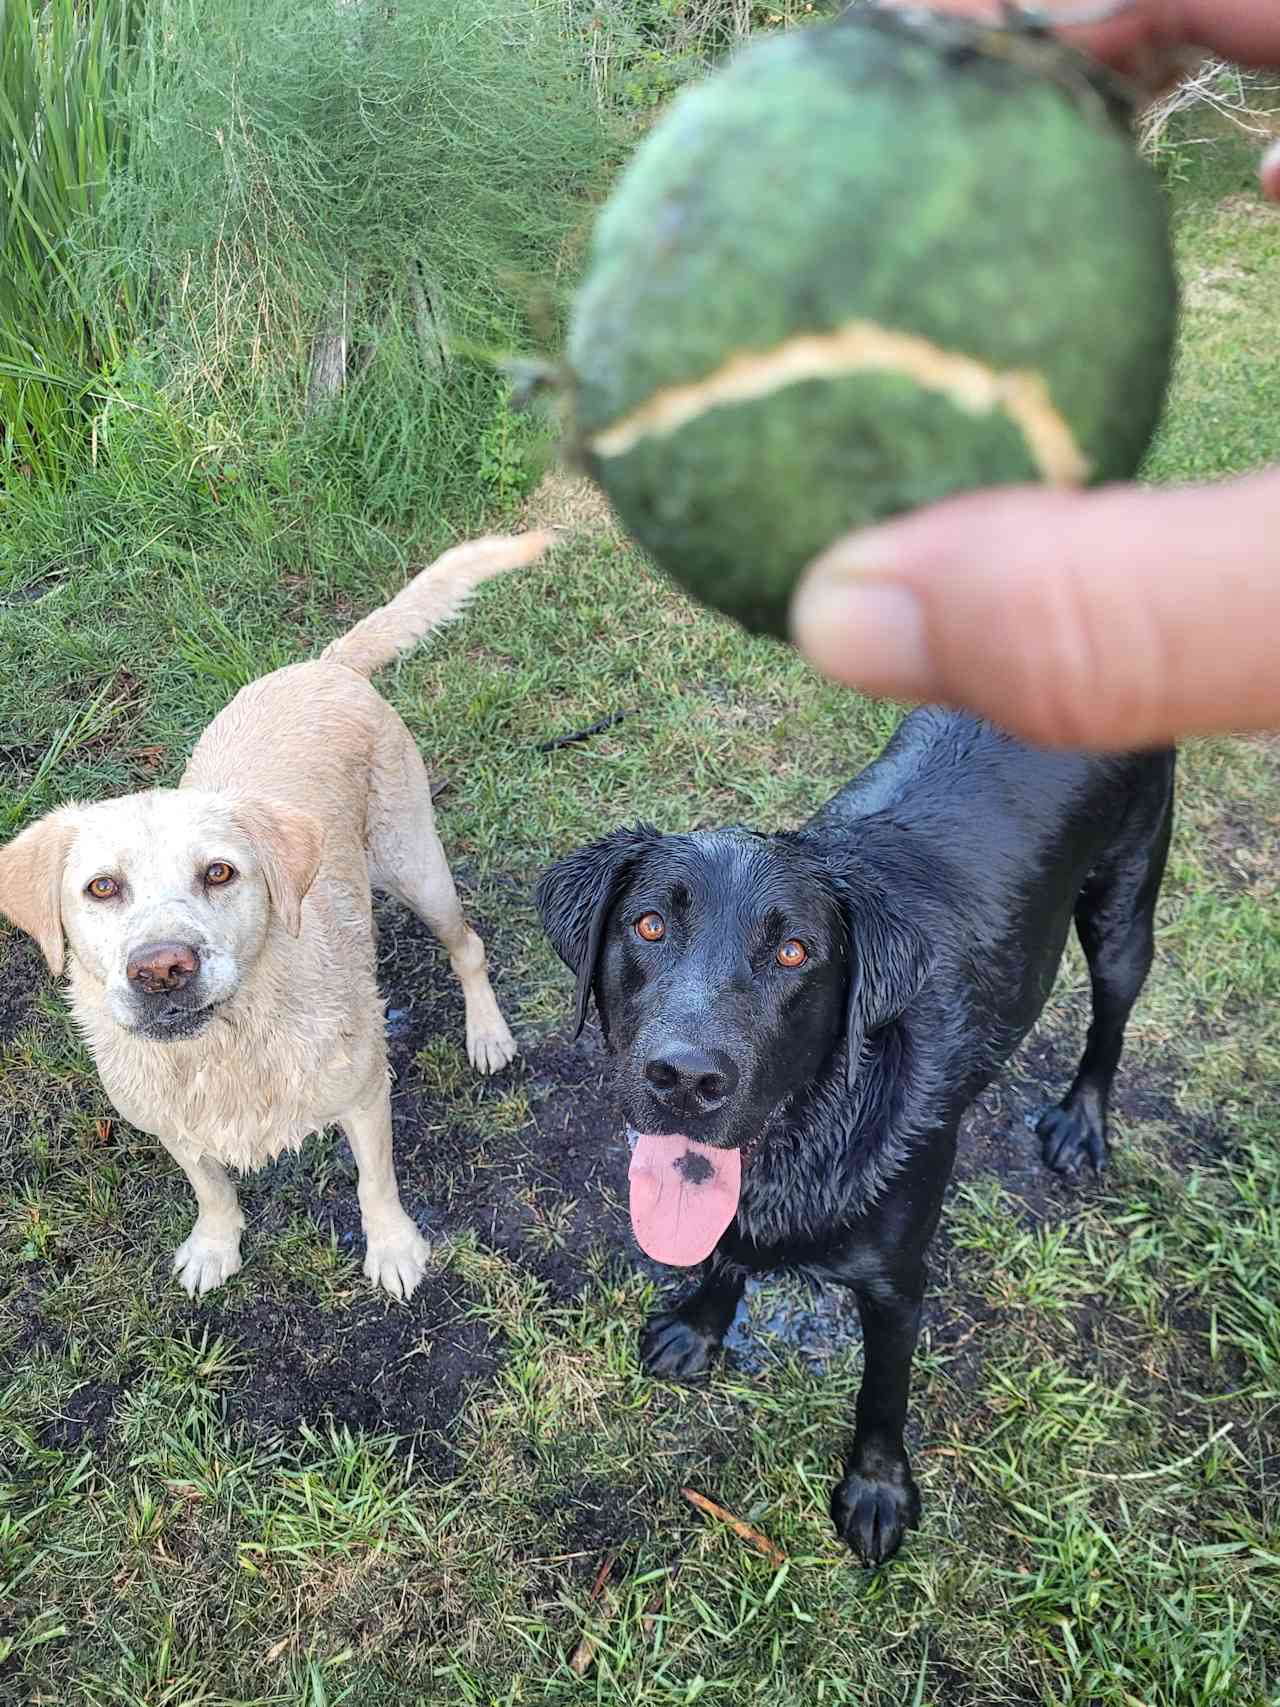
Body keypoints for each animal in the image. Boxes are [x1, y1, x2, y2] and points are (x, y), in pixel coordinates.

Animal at [0, 539, 546, 1297]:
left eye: (219, 872)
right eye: (102, 887)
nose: (162, 969)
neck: (225, 1047)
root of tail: (326, 664)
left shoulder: (363, 1091)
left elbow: (375, 1182)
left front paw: (393, 1249)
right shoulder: (173, 1123)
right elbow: (209, 1185)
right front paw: (214, 1244)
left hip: (417, 867)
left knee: (468, 946)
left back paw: (487, 1033)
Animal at [535, 703, 1181, 1563]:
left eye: (793, 951)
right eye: (648, 925)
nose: (686, 1078)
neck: (804, 1136)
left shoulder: (897, 1283)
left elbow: (883, 1393)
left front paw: (877, 1490)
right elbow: (721, 1250)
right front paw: (701, 1322)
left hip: (1125, 902)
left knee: (1111, 1015)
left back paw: (1081, 1120)